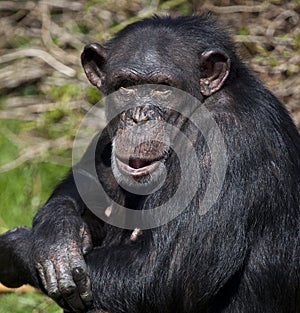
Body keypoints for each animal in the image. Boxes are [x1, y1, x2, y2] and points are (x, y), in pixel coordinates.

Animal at [0, 14, 300, 312]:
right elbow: (89, 177)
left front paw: (15, 247)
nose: (138, 115)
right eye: (125, 86)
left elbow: (160, 275)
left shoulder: (221, 141)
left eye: (162, 89)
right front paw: (57, 237)